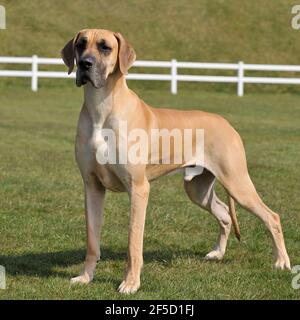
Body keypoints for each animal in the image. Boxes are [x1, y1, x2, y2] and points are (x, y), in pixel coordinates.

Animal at [61, 28, 290, 294]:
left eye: (105, 47)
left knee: (272, 217)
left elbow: (133, 242)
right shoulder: (92, 186)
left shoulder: (138, 189)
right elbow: (92, 240)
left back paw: (281, 261)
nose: (85, 64)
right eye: (81, 44)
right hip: (197, 188)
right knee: (224, 213)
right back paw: (218, 253)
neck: (101, 107)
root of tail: (226, 123)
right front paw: (85, 277)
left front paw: (131, 282)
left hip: (238, 184)